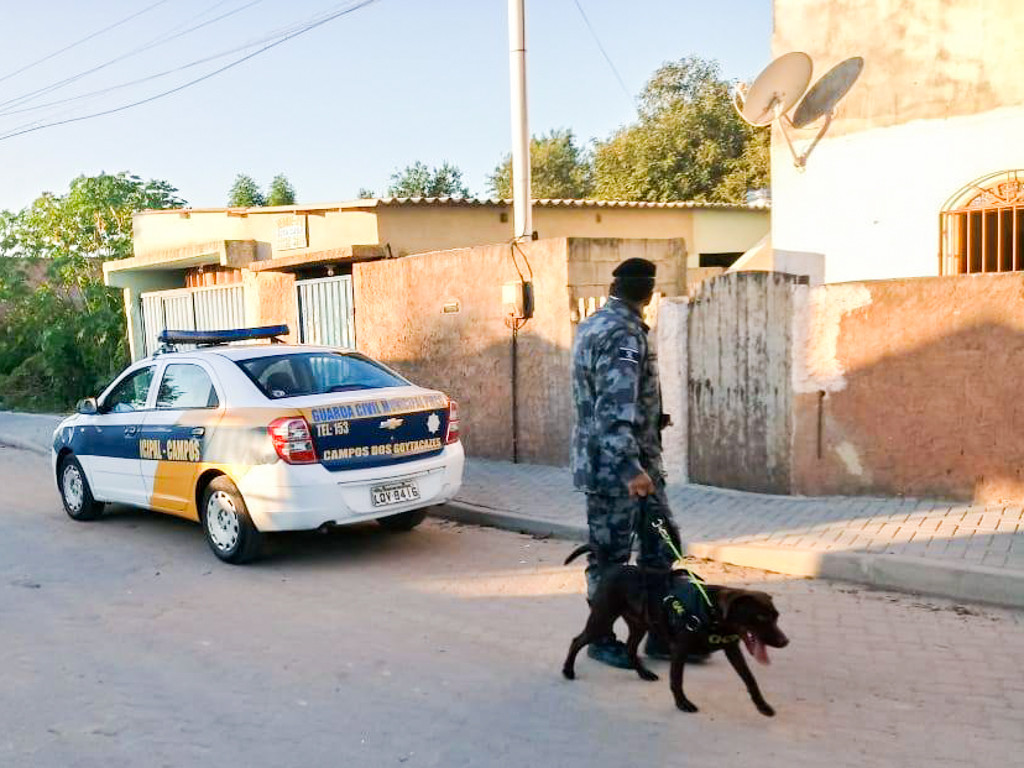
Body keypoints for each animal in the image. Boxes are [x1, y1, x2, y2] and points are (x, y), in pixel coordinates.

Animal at [565, 544, 786, 720]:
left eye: (776, 616)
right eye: (761, 617)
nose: (785, 642)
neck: (710, 609)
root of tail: (612, 567)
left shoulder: (732, 649)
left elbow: (750, 678)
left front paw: (763, 706)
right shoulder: (680, 650)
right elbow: (677, 680)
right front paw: (682, 703)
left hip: (639, 624)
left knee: (630, 648)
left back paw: (644, 673)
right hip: (602, 620)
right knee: (577, 640)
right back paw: (568, 671)